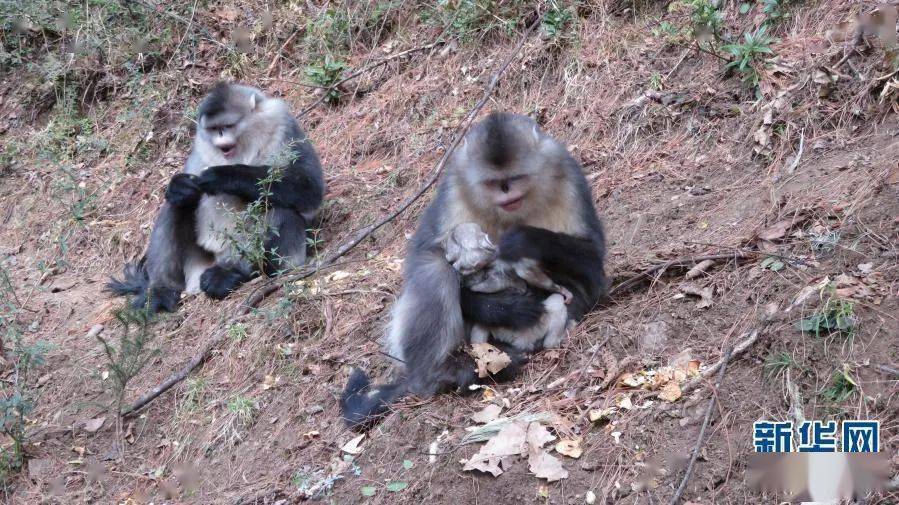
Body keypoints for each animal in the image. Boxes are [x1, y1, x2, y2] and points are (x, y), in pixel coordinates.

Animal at [106, 82, 324, 312]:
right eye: (213, 129)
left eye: (227, 126)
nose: (219, 135)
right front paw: (180, 185)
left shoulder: (283, 124)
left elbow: (310, 188)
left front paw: (223, 176)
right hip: (196, 263)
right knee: (175, 206)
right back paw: (159, 291)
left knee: (279, 207)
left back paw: (230, 272)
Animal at [444, 220, 576, 350]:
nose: (489, 239)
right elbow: (526, 273)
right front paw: (563, 290)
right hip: (531, 332)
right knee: (556, 303)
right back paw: (557, 338)